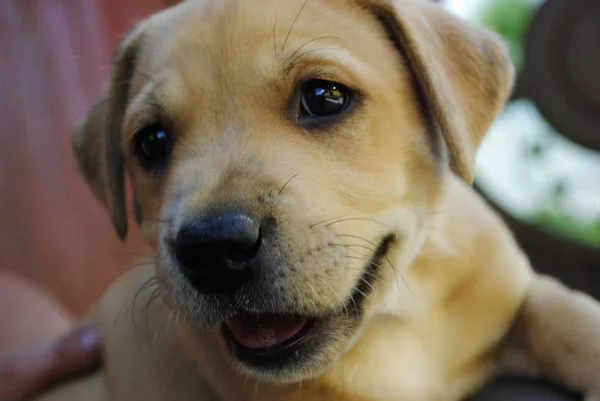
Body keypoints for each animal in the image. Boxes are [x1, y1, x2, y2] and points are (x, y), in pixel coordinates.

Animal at [35, 0, 600, 400]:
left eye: (325, 97)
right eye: (151, 142)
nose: (212, 249)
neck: (393, 324)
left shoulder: (515, 288)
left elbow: (566, 316)